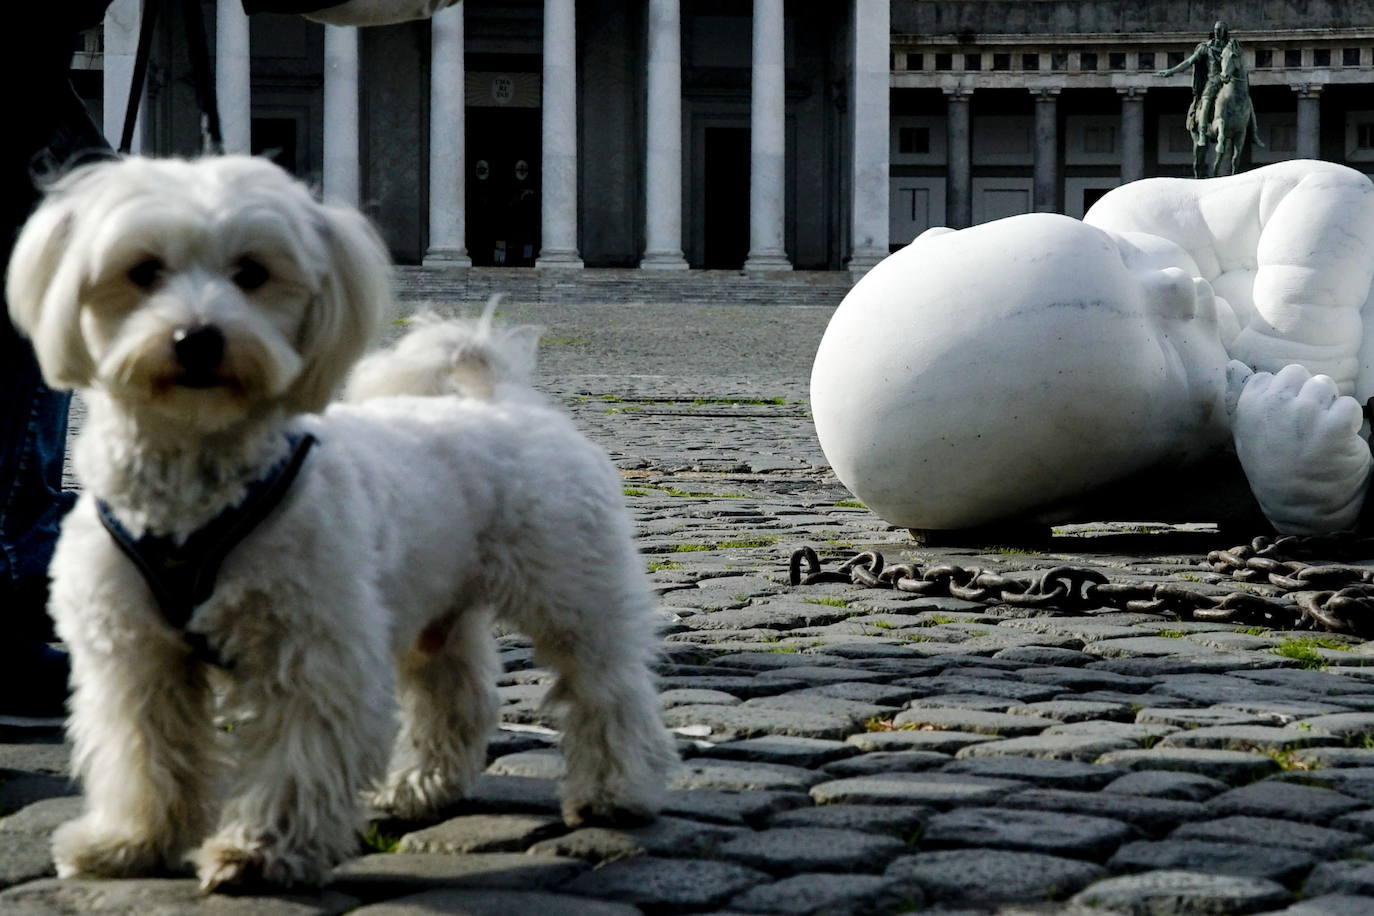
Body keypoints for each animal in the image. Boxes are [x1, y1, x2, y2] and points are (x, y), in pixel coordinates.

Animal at [5, 155, 678, 889]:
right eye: (143, 270)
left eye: (251, 272)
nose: (198, 338)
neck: (196, 483)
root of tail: (506, 400)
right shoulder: (135, 658)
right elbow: (144, 754)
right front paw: (131, 843)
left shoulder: (313, 649)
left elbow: (295, 758)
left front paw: (260, 851)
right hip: (433, 607)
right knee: (455, 695)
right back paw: (419, 789)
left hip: (572, 596)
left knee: (606, 691)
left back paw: (614, 791)